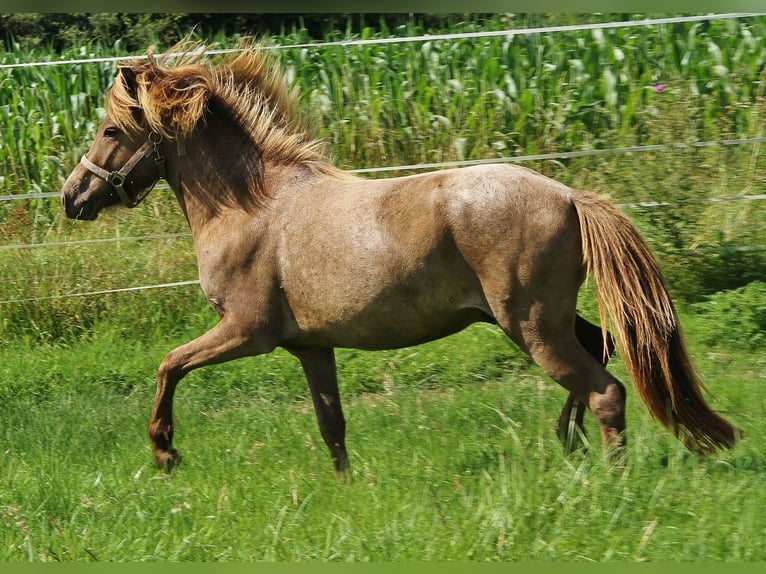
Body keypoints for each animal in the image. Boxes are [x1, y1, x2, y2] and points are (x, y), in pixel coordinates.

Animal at [60, 42, 744, 476]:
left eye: (113, 130)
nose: (73, 196)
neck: (251, 206)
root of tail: (572, 198)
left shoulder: (246, 331)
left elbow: (169, 365)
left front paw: (165, 453)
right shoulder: (311, 346)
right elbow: (331, 425)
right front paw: (345, 493)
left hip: (530, 325)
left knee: (606, 390)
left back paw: (607, 478)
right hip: (541, 320)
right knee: (602, 350)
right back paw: (566, 441)